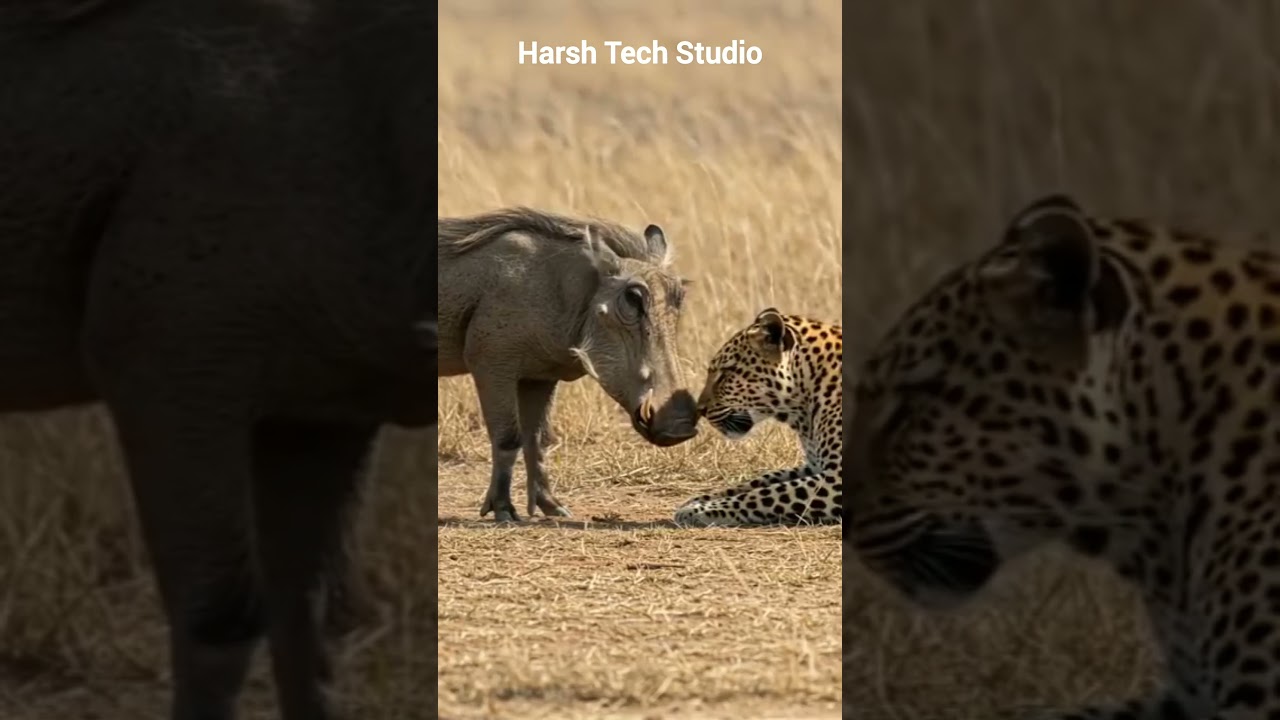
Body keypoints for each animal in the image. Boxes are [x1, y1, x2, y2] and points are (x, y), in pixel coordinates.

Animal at [674, 308, 842, 527]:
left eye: (726, 373)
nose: (700, 410)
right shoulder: (814, 466)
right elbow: (761, 480)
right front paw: (699, 500)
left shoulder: (838, 476)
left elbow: (769, 494)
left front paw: (699, 510)